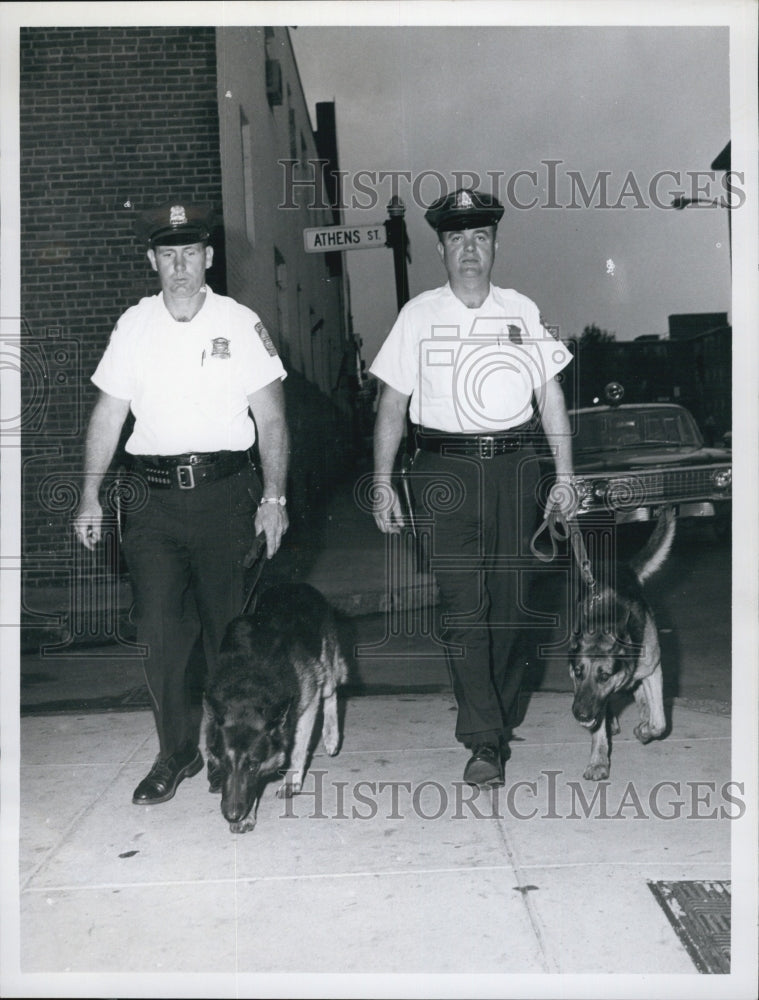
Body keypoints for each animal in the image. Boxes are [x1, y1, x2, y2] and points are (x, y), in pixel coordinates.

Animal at [205, 584, 348, 832]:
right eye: (223, 762)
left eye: (253, 766)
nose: (232, 815)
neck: (247, 685)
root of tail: (297, 585)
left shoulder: (309, 699)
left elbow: (298, 747)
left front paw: (292, 782)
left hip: (324, 671)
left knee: (331, 692)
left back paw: (331, 736)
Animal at [568, 508, 676, 780]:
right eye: (577, 672)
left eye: (605, 676)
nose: (580, 714)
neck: (605, 623)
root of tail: (620, 565)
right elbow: (598, 729)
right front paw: (598, 762)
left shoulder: (653, 669)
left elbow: (660, 722)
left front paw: (645, 730)